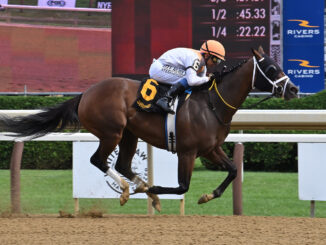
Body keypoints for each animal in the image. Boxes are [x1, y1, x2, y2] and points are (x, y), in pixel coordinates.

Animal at [0, 47, 298, 211]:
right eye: (272, 68)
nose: (294, 89)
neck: (212, 103)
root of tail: (85, 94)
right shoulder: (188, 151)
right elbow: (181, 187)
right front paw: (156, 191)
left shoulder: (210, 149)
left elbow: (234, 170)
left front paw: (206, 196)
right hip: (112, 132)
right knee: (99, 160)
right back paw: (126, 190)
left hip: (129, 135)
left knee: (121, 164)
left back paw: (140, 189)